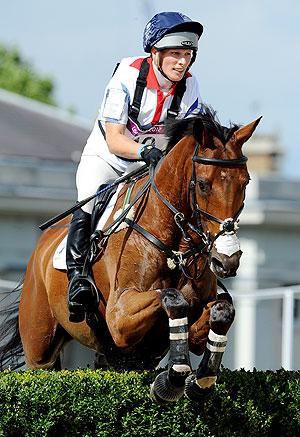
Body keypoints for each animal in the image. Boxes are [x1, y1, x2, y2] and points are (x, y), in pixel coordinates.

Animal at [0, 106, 262, 402]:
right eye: (204, 184)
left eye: (245, 182)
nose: (227, 260)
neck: (176, 248)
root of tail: (40, 249)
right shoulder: (119, 318)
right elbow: (174, 298)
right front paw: (172, 380)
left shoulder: (193, 326)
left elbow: (221, 311)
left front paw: (201, 380)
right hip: (39, 349)